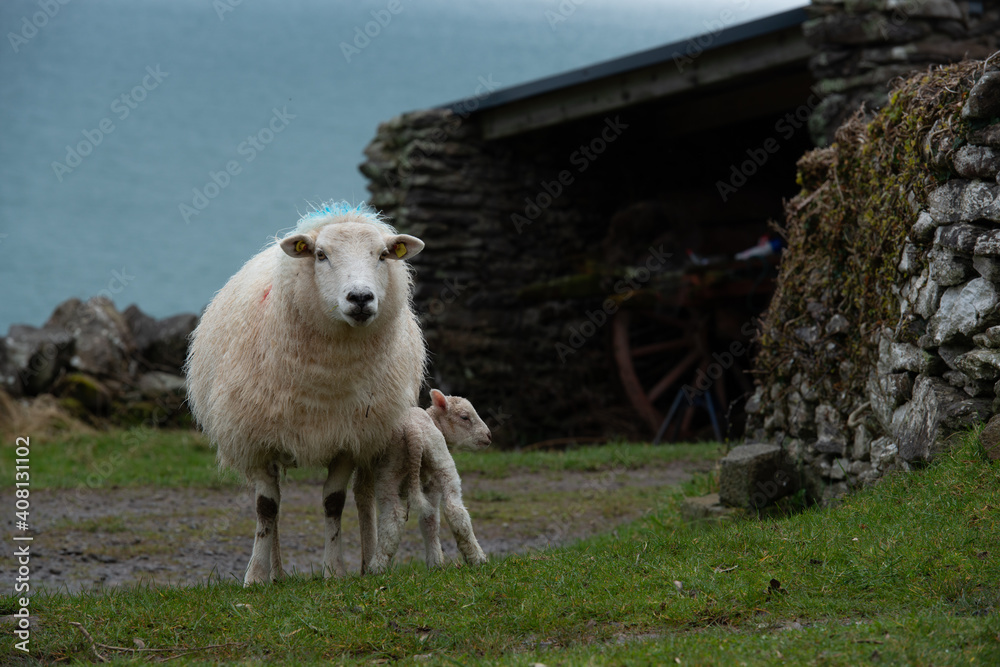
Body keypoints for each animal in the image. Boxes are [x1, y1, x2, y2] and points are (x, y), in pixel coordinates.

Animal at [184, 201, 427, 585]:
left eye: (382, 255)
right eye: (321, 255)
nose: (360, 298)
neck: (325, 381)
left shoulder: (347, 439)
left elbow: (334, 502)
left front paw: (334, 570)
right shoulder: (258, 441)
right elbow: (266, 508)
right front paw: (255, 576)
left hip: (373, 435)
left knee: (364, 496)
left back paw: (366, 561)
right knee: (273, 505)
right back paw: (277, 574)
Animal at [366, 388, 491, 574]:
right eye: (464, 417)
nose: (489, 436)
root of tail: (412, 429)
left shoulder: (428, 485)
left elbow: (429, 522)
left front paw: (435, 564)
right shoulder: (433, 483)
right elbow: (432, 522)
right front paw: (437, 563)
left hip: (389, 469)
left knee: (393, 517)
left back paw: (376, 568)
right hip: (440, 459)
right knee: (454, 510)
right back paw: (477, 558)